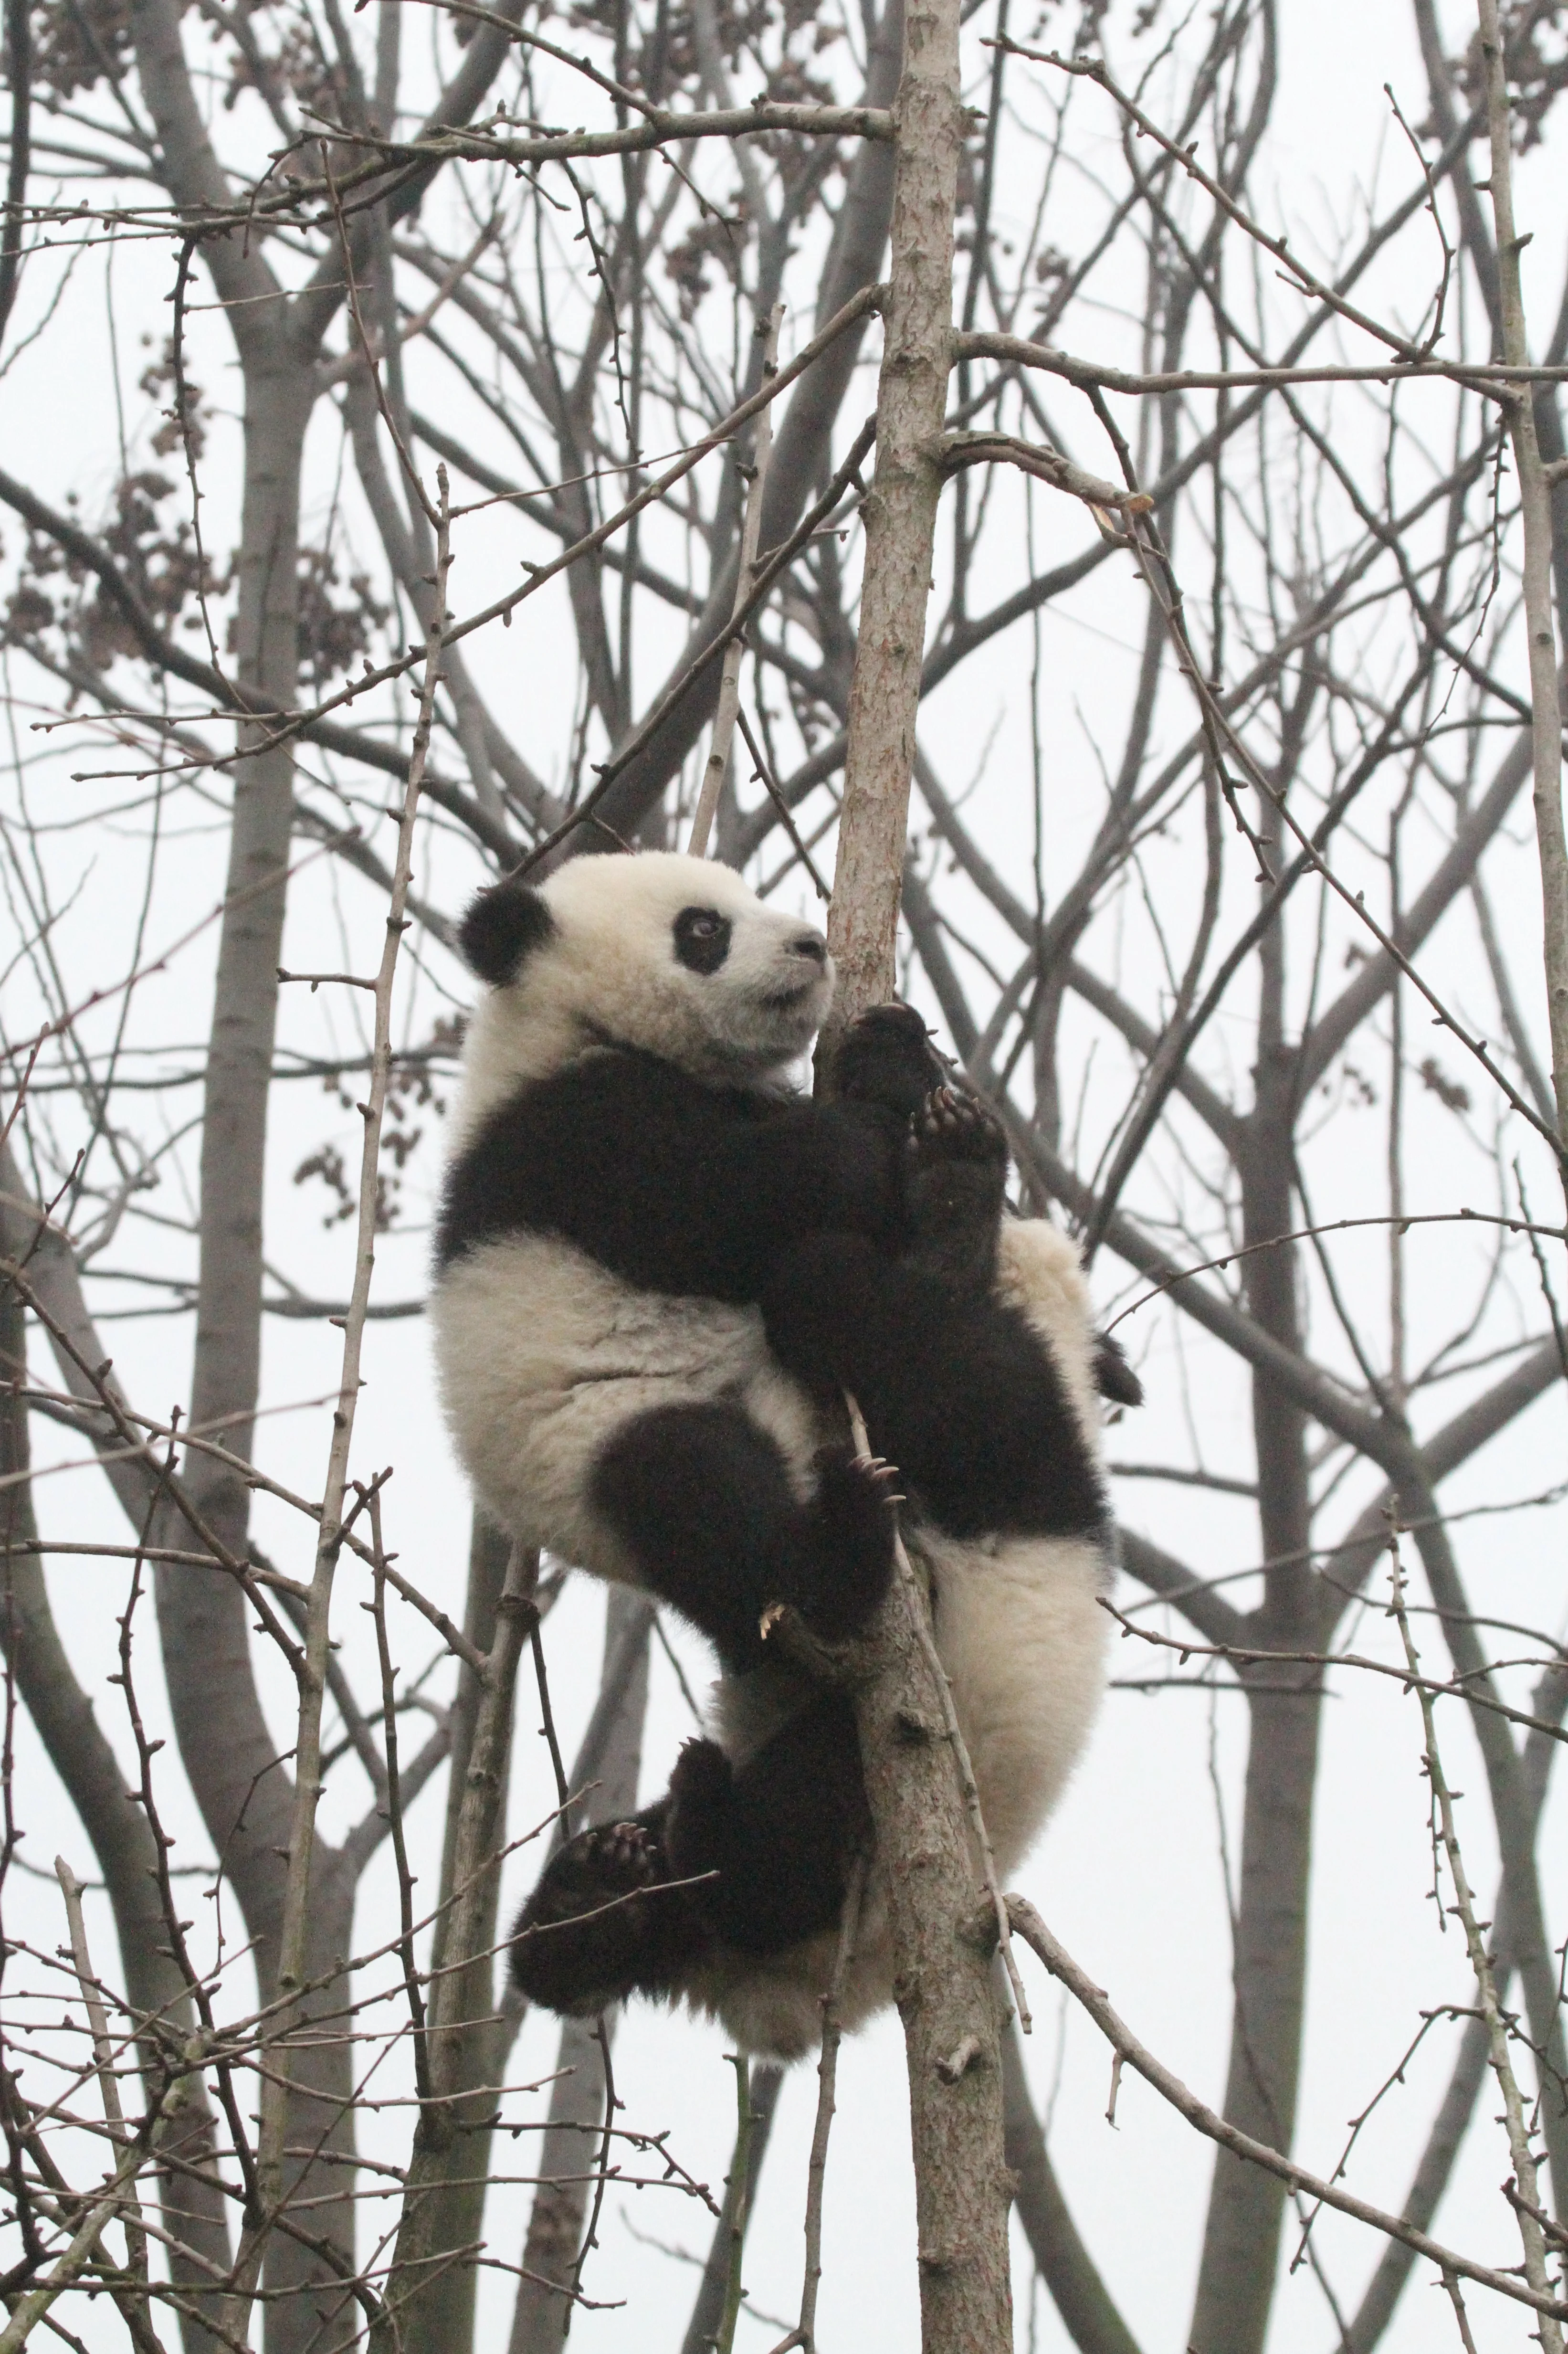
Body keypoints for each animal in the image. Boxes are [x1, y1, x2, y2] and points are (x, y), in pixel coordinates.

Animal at [431, 849, 1132, 2060]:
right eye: (702, 928)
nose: (809, 944)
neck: (560, 1028)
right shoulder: (567, 1138)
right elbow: (745, 1195)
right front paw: (890, 1132)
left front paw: (898, 1065)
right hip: (627, 1470)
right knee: (702, 1473)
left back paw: (619, 1882)